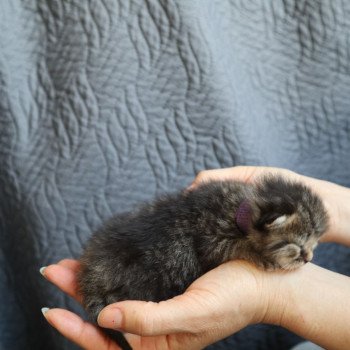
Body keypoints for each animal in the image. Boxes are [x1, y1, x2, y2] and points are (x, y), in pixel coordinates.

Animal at [76, 176, 328, 348]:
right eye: (296, 245)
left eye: (313, 243)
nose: (308, 258)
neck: (240, 210)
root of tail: (91, 275)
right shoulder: (211, 240)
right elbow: (237, 247)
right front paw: (261, 257)